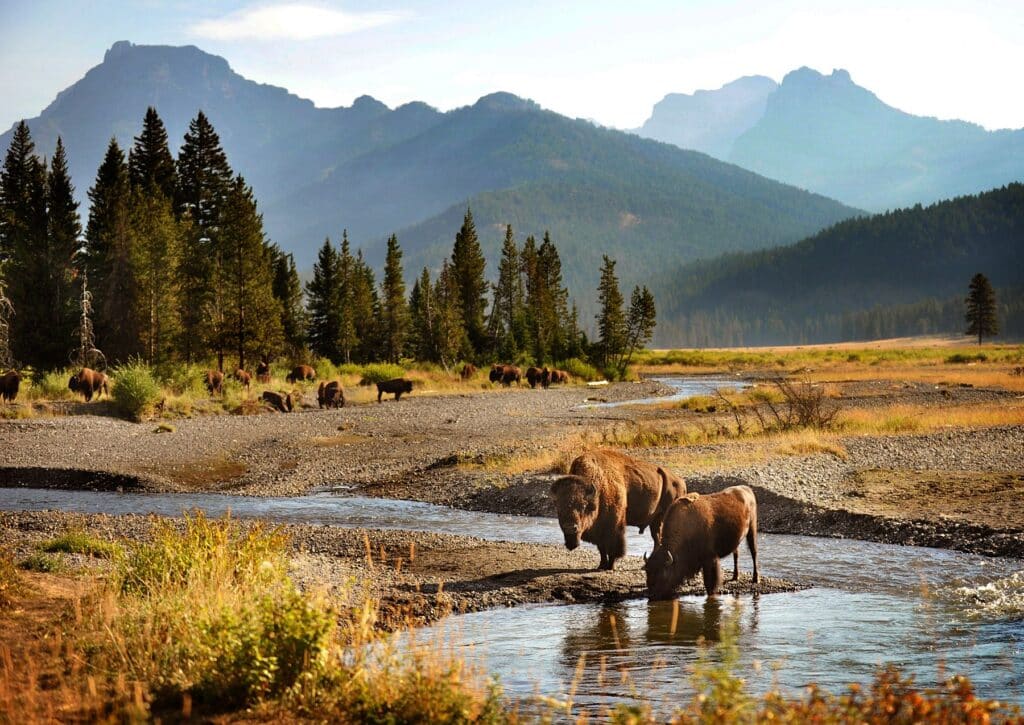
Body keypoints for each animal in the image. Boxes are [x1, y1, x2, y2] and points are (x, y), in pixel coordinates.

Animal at [551, 449, 687, 570]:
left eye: (583, 506)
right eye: (559, 508)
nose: (570, 528)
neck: (598, 491)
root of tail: (680, 481)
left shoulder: (614, 527)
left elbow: (613, 548)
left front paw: (611, 566)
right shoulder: (599, 529)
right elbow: (601, 548)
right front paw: (601, 565)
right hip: (656, 520)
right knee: (657, 538)